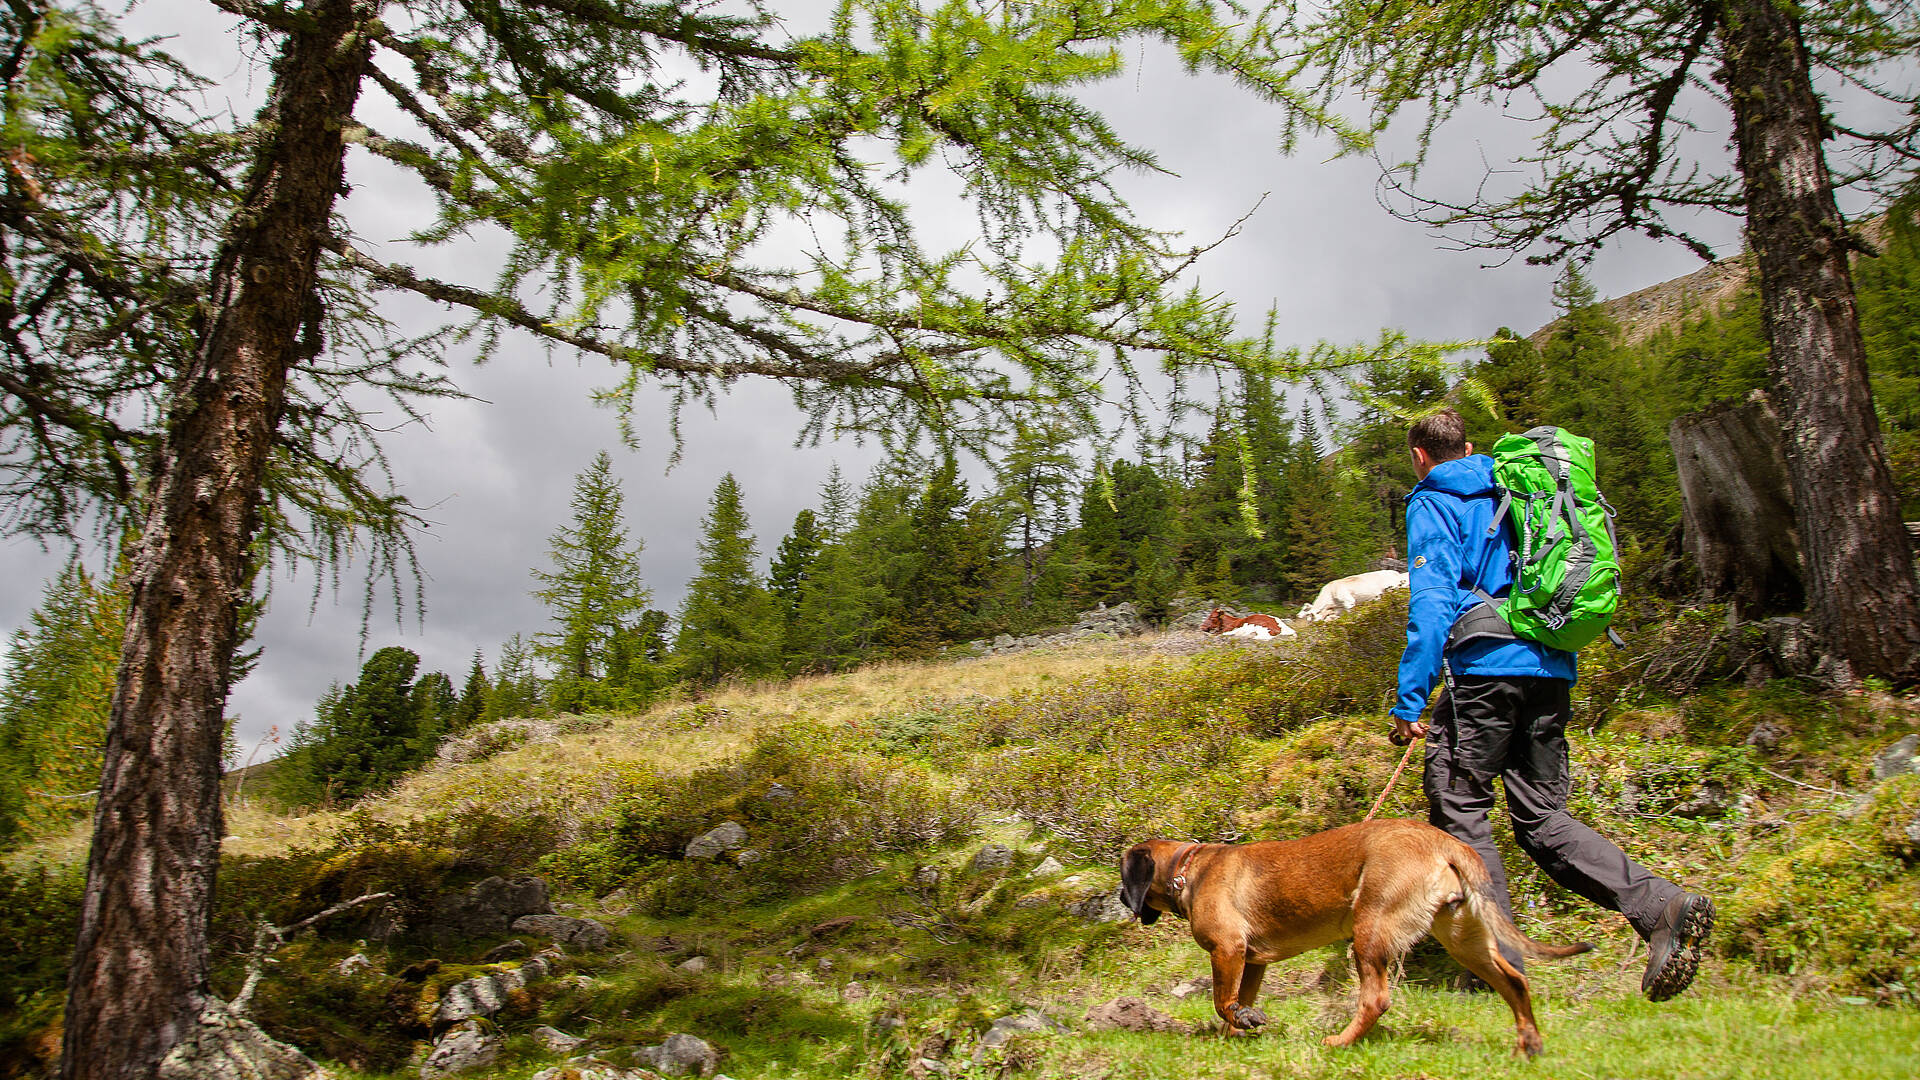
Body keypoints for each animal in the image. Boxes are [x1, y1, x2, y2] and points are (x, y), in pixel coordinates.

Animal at [1121, 814, 1582, 1053]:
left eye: (1125, 880)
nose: (1122, 900)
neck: (1186, 870)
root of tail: (1448, 844)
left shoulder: (1227, 949)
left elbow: (1221, 1001)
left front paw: (1240, 1024)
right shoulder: (1250, 961)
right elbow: (1236, 1001)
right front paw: (1236, 1032)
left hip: (1370, 932)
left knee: (1375, 1000)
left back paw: (1340, 1042)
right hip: (1463, 939)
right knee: (1515, 982)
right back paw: (1528, 1045)